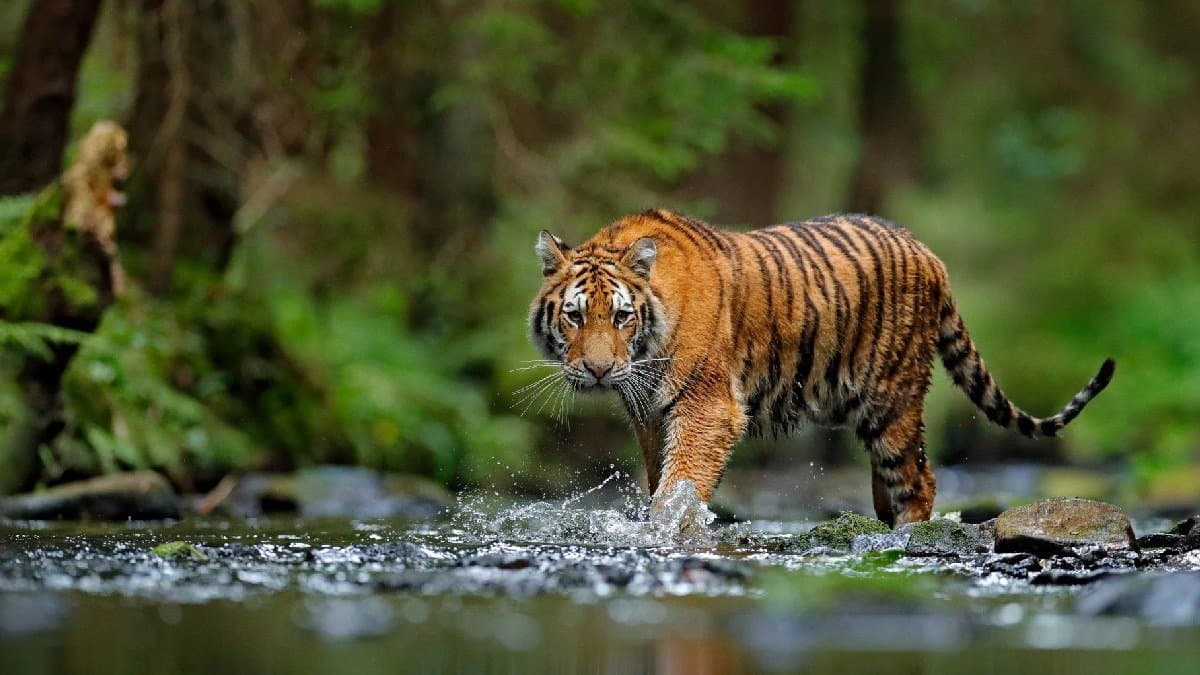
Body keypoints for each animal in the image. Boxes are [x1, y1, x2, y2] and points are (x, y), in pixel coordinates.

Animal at [528, 209, 1114, 527]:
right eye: (575, 316)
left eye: (621, 317)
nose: (599, 370)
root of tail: (928, 253)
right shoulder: (650, 415)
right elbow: (660, 481)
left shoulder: (707, 408)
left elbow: (680, 485)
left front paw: (668, 530)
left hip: (893, 399)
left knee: (918, 478)